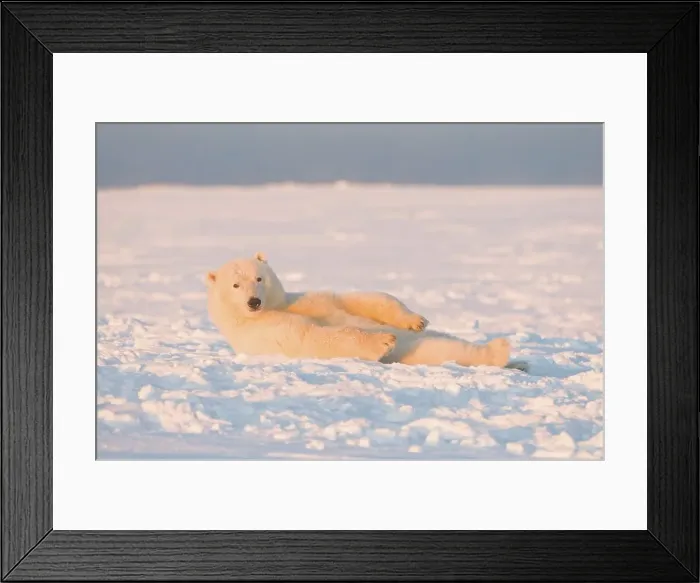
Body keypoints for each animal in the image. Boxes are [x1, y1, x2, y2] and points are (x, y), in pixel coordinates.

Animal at [205, 252, 520, 369]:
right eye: (235, 284)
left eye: (259, 278)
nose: (253, 302)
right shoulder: (267, 331)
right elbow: (312, 337)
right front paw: (383, 340)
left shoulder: (300, 299)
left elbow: (358, 300)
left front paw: (415, 320)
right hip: (417, 353)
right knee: (441, 350)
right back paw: (501, 352)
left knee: (449, 343)